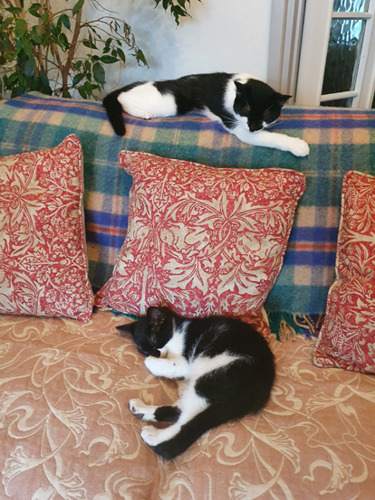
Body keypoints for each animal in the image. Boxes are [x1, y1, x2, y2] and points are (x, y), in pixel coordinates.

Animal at [101, 72, 310, 156]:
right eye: (246, 109)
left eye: (267, 114)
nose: (253, 127)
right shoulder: (238, 126)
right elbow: (271, 137)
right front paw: (298, 145)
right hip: (168, 102)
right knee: (122, 98)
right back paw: (142, 112)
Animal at [117, 306, 276, 458]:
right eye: (143, 350)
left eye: (155, 343)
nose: (153, 353)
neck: (177, 329)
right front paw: (180, 384)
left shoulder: (184, 362)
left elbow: (152, 362)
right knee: (181, 410)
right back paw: (141, 410)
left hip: (212, 374)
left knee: (185, 419)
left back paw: (154, 435)